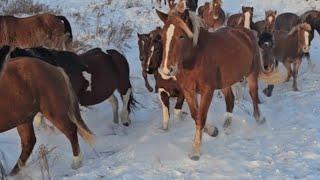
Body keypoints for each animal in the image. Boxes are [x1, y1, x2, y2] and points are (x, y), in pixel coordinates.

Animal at [0, 45, 95, 176]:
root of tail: (55, 69)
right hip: (22, 117)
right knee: (29, 142)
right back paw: (13, 173)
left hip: (53, 112)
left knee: (71, 130)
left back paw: (76, 162)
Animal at [158, 10, 270, 160]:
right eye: (162, 36)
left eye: (181, 36)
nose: (166, 70)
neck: (196, 58)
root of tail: (246, 32)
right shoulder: (188, 91)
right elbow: (195, 115)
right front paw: (212, 131)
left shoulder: (207, 91)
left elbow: (201, 117)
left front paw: (195, 151)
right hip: (225, 82)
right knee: (230, 100)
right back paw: (227, 126)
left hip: (252, 74)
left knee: (253, 95)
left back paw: (259, 118)